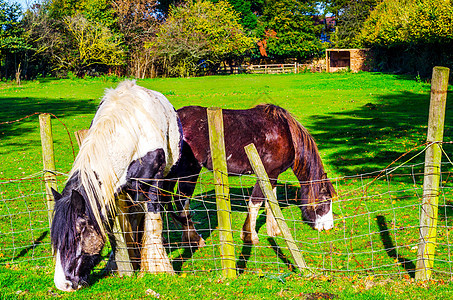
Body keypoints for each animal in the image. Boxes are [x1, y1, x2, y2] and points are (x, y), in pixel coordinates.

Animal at [51, 81, 182, 292]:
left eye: (77, 235)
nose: (63, 284)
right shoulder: (114, 193)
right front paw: (118, 264)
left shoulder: (154, 184)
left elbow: (153, 222)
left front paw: (157, 267)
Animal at [163, 104, 336, 245]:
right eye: (325, 200)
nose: (329, 226)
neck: (285, 132)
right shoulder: (267, 173)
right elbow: (256, 202)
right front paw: (249, 236)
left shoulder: (273, 175)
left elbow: (270, 201)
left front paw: (274, 230)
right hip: (189, 171)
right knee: (181, 201)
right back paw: (193, 239)